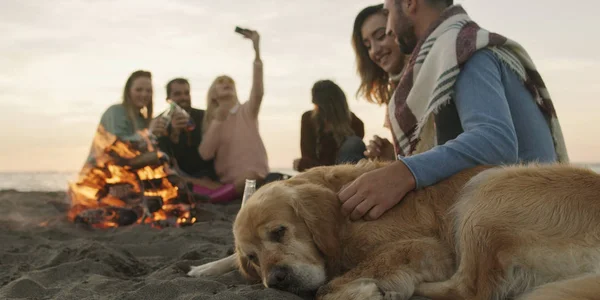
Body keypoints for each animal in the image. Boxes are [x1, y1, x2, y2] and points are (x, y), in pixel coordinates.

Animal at [189, 161, 600, 298]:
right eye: (252, 258)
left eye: (280, 232)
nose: (276, 280)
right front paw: (203, 268)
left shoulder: (430, 247)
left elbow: (330, 284)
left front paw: (361, 289)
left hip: (486, 190)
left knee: (471, 290)